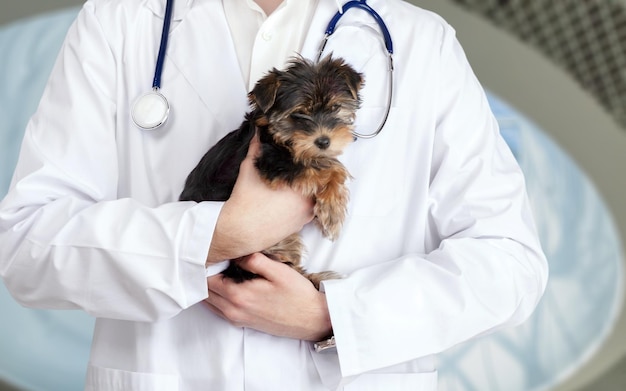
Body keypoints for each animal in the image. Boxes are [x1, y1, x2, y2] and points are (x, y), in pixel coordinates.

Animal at [177, 55, 360, 290]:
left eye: (335, 107)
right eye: (298, 114)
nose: (323, 141)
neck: (280, 136)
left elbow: (326, 163)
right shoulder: (273, 163)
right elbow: (329, 168)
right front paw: (333, 213)